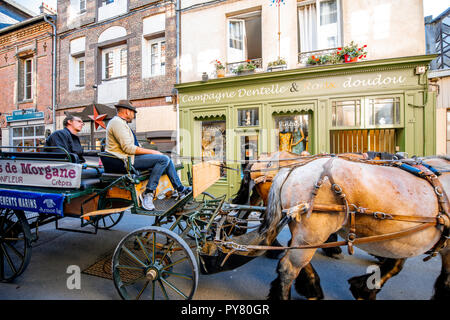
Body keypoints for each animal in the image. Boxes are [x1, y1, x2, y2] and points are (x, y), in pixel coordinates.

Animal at [260, 156, 450, 298]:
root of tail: (294, 169)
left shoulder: (407, 237)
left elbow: (397, 265)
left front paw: (364, 288)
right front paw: (364, 289)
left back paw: (311, 286)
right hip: (311, 234)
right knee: (288, 268)